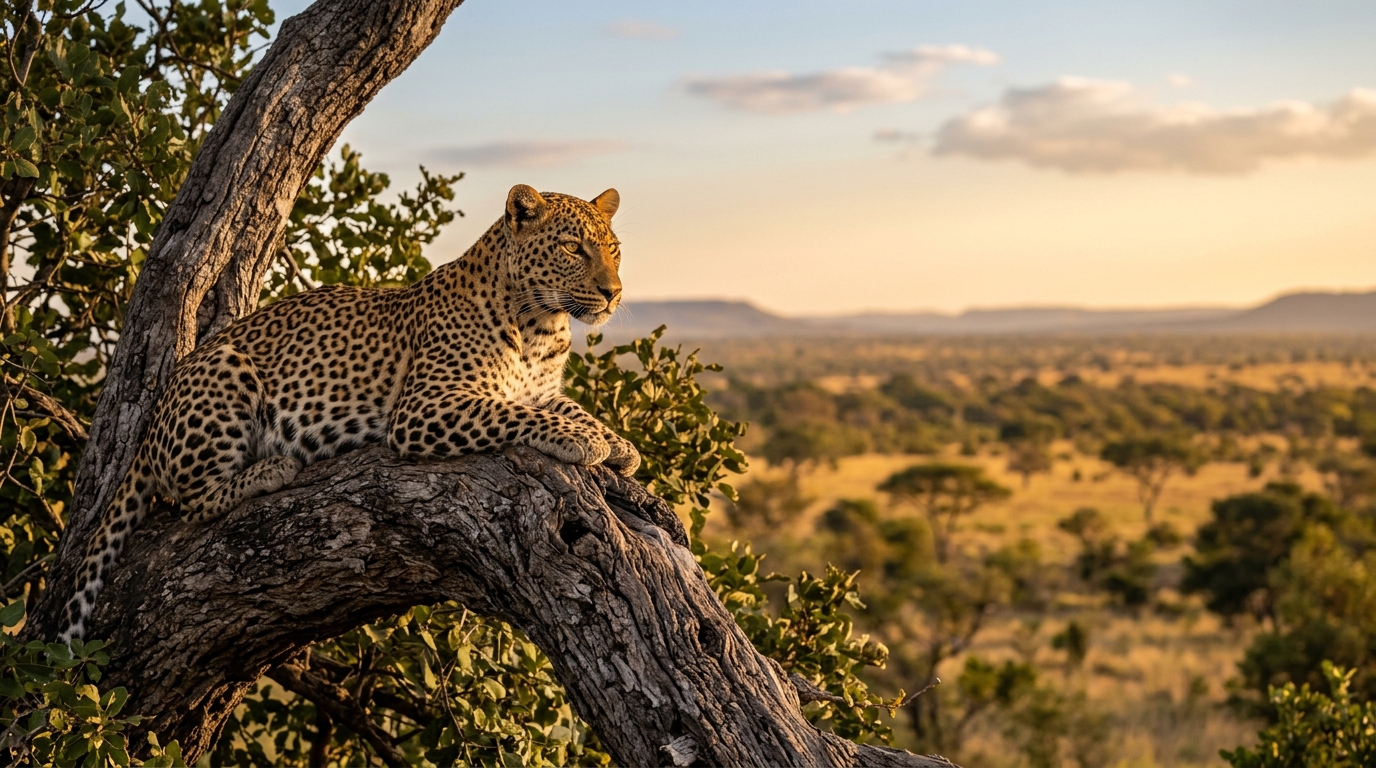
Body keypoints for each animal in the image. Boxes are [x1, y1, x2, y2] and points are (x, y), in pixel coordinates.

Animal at [60, 184, 640, 641]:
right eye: (572, 247)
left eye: (614, 250)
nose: (614, 293)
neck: (543, 327)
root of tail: (153, 420)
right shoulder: (425, 406)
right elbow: (513, 415)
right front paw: (583, 441)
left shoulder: (539, 388)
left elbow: (567, 406)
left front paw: (620, 445)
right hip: (225, 372)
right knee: (190, 500)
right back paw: (271, 469)